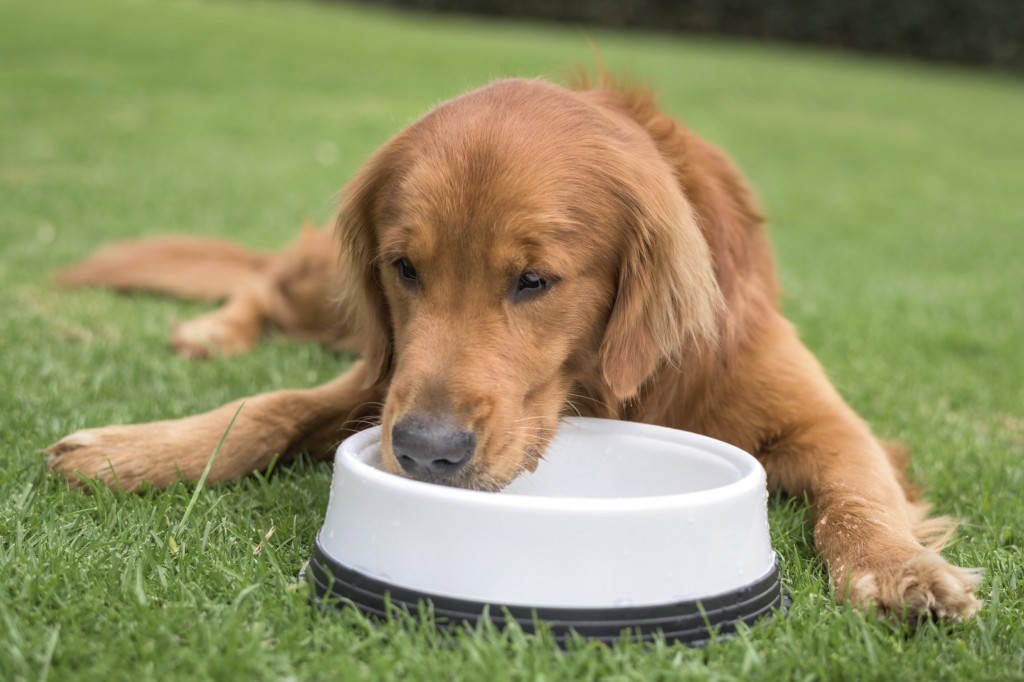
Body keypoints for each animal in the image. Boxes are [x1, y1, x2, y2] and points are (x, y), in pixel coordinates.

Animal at [44, 73, 978, 614]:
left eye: (534, 280)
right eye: (404, 267)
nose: (428, 451)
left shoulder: (821, 416)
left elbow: (857, 489)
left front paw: (898, 568)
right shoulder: (385, 378)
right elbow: (270, 408)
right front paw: (140, 449)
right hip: (332, 299)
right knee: (266, 278)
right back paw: (212, 329)